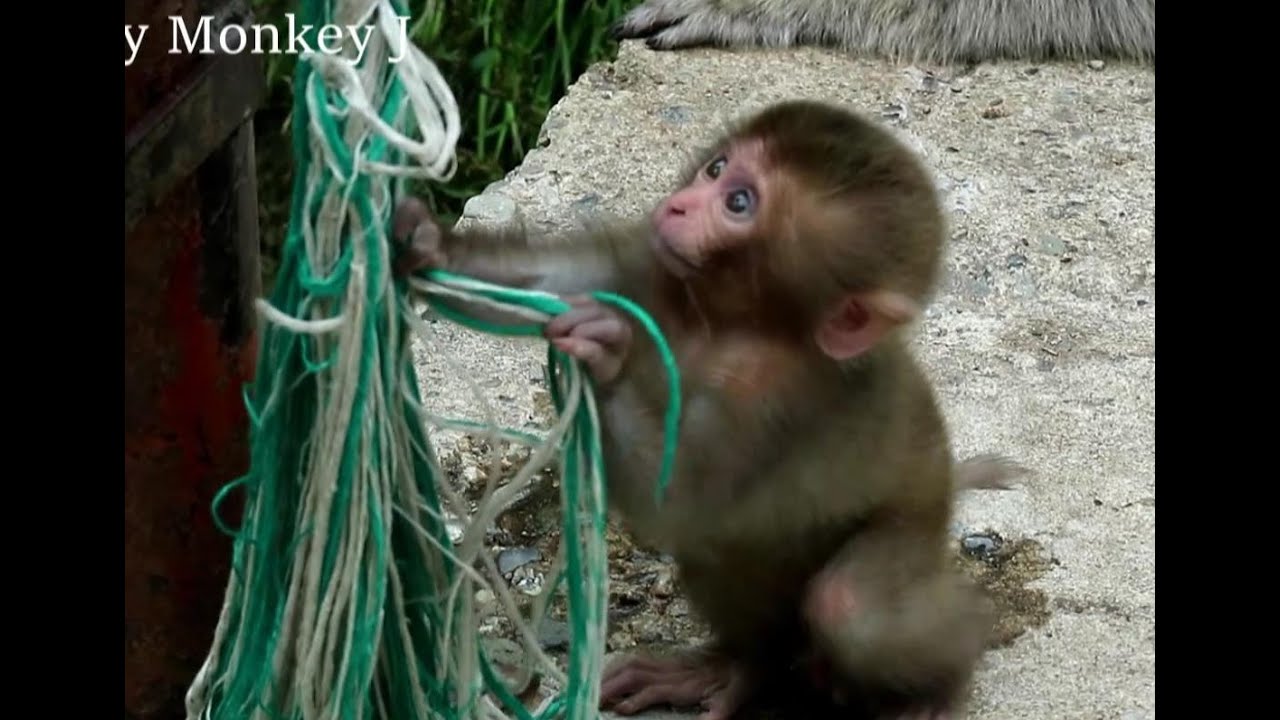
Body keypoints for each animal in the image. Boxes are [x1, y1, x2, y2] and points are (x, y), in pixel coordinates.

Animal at [391, 99, 1021, 719]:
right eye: (715, 170)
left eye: (738, 203)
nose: (678, 206)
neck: (725, 321)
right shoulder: (652, 263)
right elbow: (540, 280)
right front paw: (425, 239)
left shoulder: (773, 395)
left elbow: (679, 502)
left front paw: (606, 355)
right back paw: (737, 668)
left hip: (911, 526)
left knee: (848, 607)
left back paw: (942, 679)